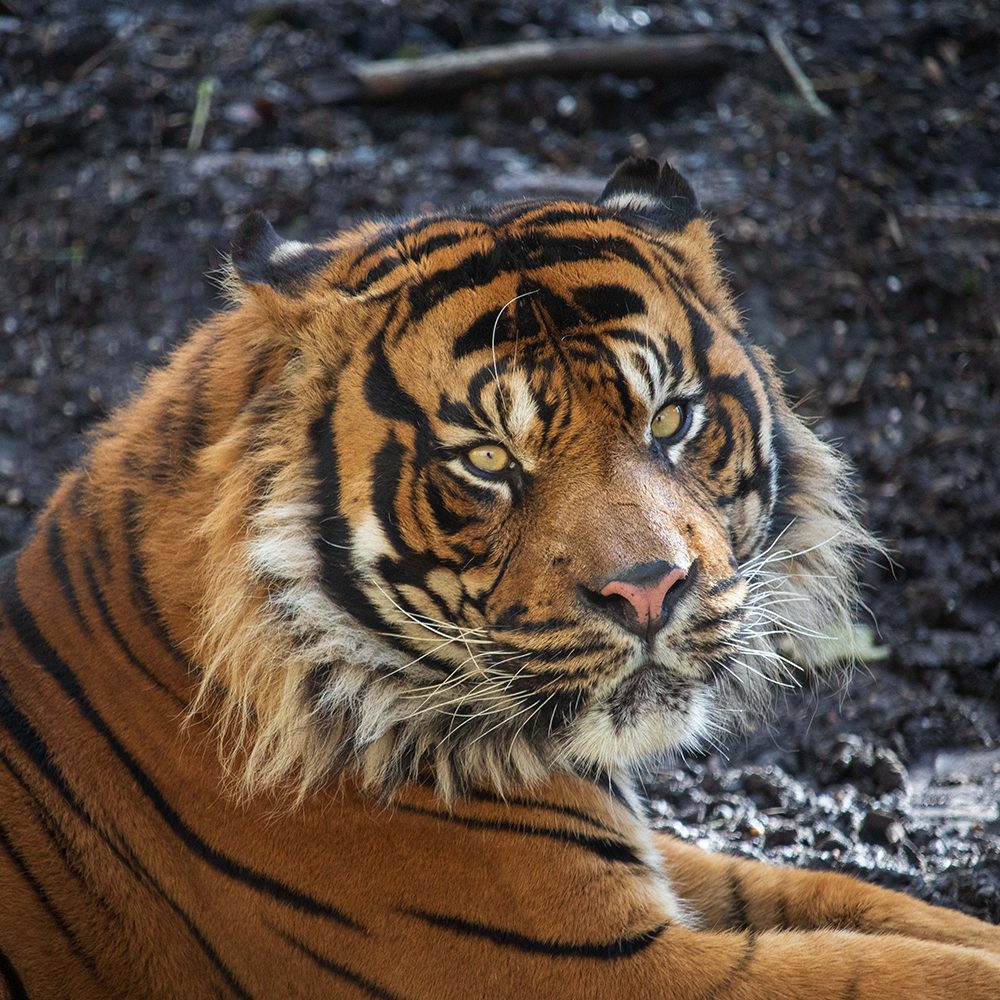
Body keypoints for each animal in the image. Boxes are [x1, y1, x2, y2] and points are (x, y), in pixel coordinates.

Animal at [1, 158, 1000, 1000]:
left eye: (670, 419)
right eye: (487, 458)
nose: (649, 590)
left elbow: (871, 903)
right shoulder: (598, 966)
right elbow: (905, 971)